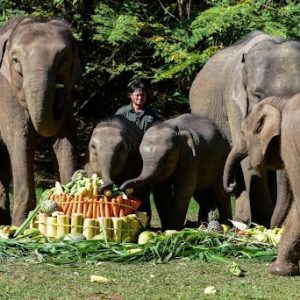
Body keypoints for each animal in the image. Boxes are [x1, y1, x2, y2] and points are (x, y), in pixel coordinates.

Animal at [0, 16, 82, 225]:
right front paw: (20, 225)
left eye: (63, 60)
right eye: (15, 60)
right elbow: (21, 142)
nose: (60, 92)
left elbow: (66, 141)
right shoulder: (6, 94)